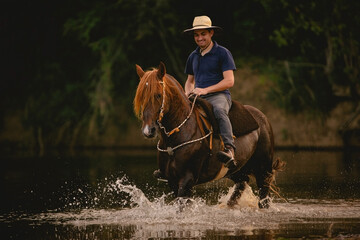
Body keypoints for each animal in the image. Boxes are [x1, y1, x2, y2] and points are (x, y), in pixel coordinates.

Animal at [133, 62, 284, 208]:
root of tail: (262, 117)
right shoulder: (172, 179)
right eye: (141, 97)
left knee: (263, 198)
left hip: (263, 170)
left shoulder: (187, 179)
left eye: (158, 95)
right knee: (242, 182)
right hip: (237, 169)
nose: (148, 130)